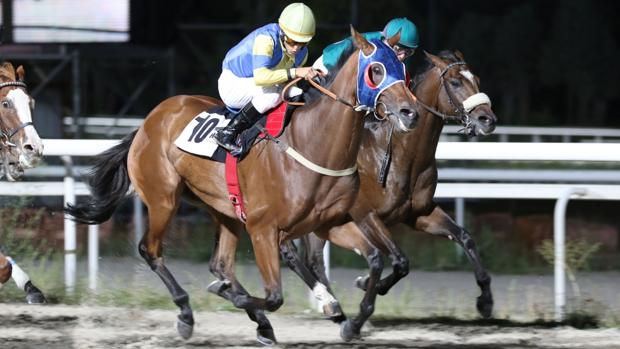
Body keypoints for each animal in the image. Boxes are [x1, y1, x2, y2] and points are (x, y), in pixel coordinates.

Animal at [65, 26, 418, 342]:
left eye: (403, 69)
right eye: (376, 70)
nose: (409, 112)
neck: (313, 143)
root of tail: (148, 121)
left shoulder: (328, 223)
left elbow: (374, 259)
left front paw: (350, 320)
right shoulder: (264, 229)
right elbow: (275, 296)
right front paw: (324, 305)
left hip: (224, 211)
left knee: (220, 265)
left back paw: (257, 318)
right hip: (164, 198)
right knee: (150, 250)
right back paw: (187, 313)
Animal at [280, 49, 498, 320]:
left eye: (476, 79)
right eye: (456, 82)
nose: (487, 119)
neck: (403, 155)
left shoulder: (419, 214)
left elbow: (464, 237)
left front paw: (486, 300)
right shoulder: (365, 215)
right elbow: (401, 261)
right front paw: (366, 283)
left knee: (313, 258)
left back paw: (330, 304)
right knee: (291, 251)